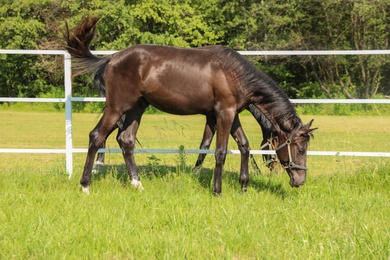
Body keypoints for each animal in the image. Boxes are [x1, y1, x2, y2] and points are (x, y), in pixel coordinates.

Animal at [62, 16, 316, 194]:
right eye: (300, 149)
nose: (300, 181)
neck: (234, 74)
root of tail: (112, 58)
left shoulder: (232, 114)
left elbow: (243, 145)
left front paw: (244, 186)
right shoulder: (223, 114)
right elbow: (220, 151)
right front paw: (217, 190)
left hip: (136, 109)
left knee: (126, 141)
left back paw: (137, 184)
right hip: (116, 107)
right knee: (97, 136)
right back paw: (85, 185)